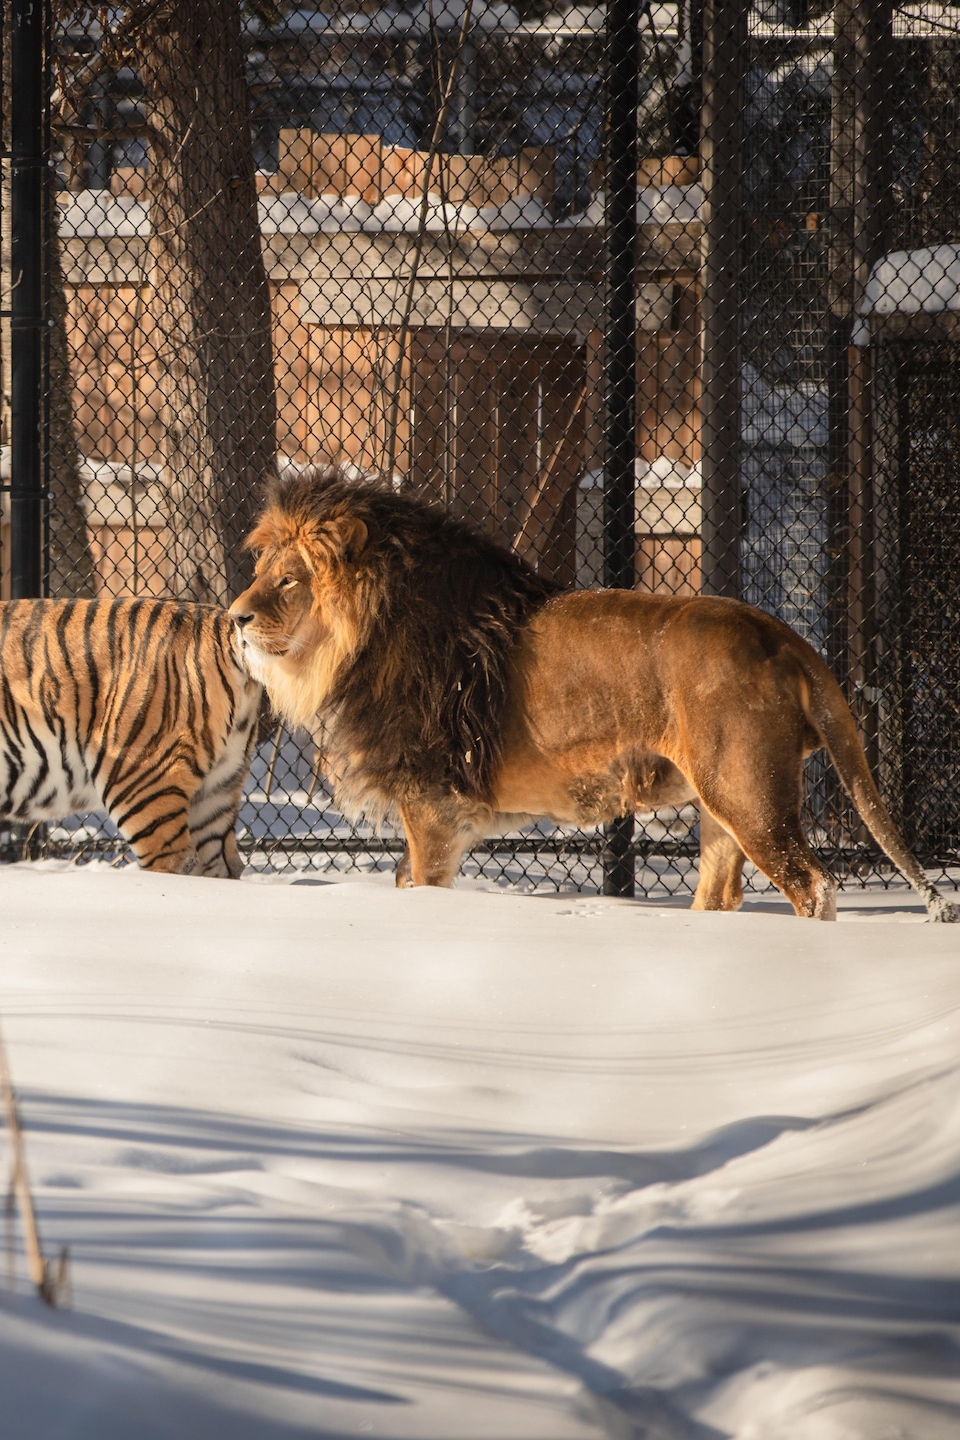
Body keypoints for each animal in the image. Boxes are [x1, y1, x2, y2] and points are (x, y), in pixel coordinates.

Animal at [229, 466, 956, 922]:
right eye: (261, 568)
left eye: (290, 579)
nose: (235, 616)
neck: (365, 634)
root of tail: (781, 634)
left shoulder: (432, 807)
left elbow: (421, 885)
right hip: (721, 804)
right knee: (722, 895)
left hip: (750, 796)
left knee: (815, 887)